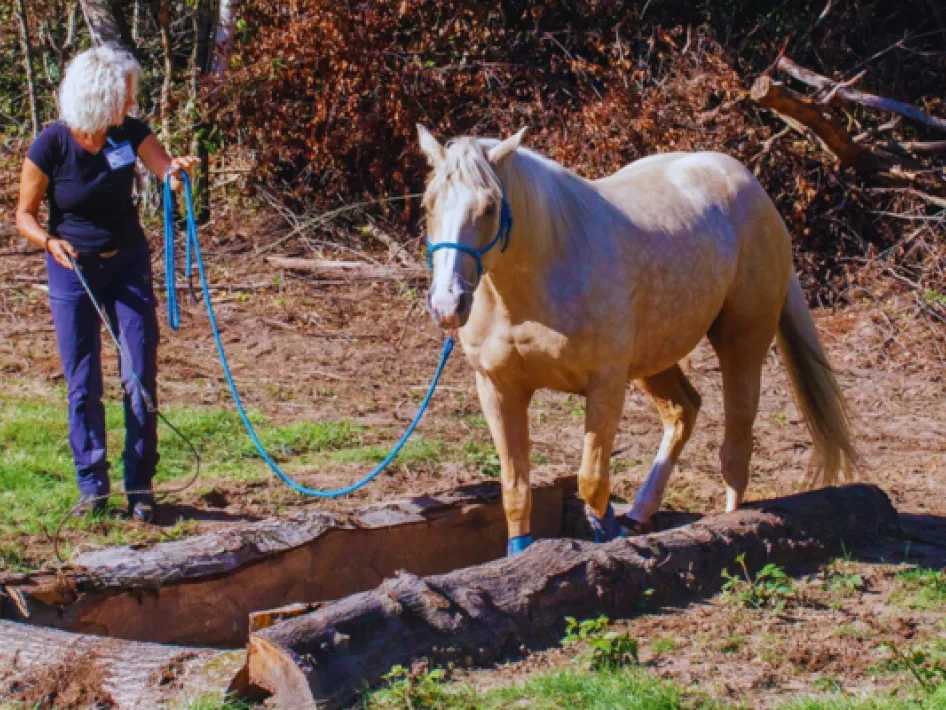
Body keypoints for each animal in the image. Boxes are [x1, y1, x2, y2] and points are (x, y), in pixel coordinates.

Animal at [417, 125, 857, 555]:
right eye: (428, 204)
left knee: (737, 441)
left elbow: (592, 483)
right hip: (656, 359)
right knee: (683, 412)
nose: (447, 304)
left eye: (490, 207)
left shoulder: (606, 386)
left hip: (742, 342)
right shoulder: (498, 389)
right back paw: (641, 513)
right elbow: (515, 492)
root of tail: (754, 188)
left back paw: (731, 524)